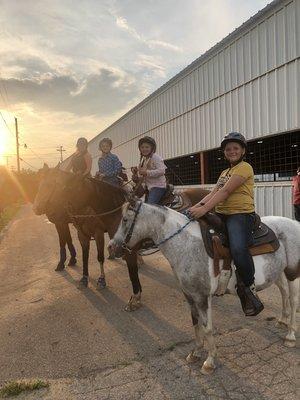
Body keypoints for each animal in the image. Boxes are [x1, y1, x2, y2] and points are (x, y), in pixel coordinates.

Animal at [32, 164, 209, 310]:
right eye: (40, 184)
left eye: (60, 186)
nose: (44, 210)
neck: (117, 212)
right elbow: (87, 256)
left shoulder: (117, 243)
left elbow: (129, 272)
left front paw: (134, 299)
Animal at [109, 202, 300, 374]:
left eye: (125, 219)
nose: (111, 247)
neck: (186, 244)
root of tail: (294, 223)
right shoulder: (189, 295)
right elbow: (196, 323)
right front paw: (196, 352)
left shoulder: (202, 296)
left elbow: (207, 328)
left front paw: (210, 361)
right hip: (276, 272)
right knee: (283, 292)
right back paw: (282, 321)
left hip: (292, 273)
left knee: (293, 300)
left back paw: (290, 335)